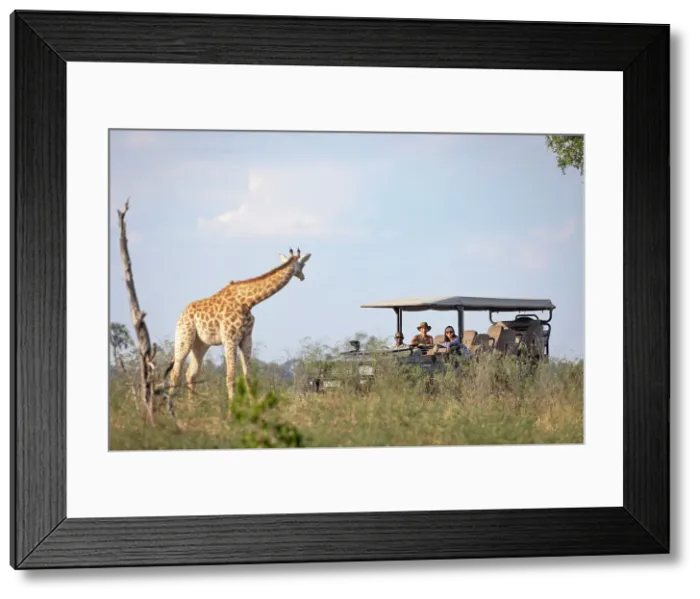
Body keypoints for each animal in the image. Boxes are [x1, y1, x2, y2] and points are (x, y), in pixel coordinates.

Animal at [164, 248, 311, 414]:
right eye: (303, 264)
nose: (303, 277)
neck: (248, 302)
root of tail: (182, 314)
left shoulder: (246, 338)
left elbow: (248, 376)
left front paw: (254, 408)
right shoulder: (230, 339)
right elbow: (231, 376)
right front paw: (231, 411)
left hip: (200, 344)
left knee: (191, 373)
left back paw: (192, 409)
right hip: (184, 336)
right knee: (175, 373)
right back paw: (171, 410)